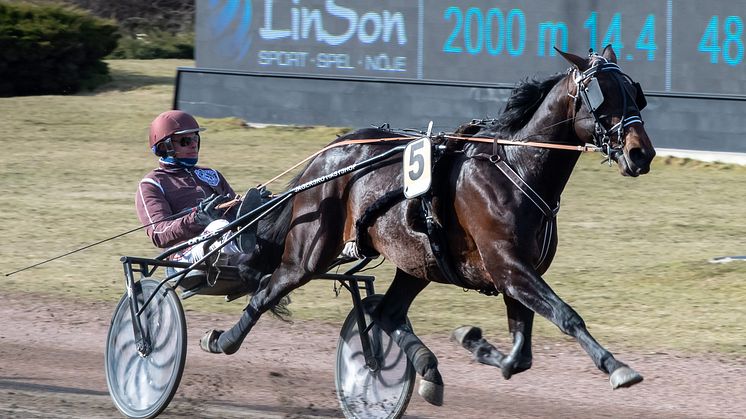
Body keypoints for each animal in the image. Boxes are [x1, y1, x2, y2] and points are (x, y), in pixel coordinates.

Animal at [202, 47, 652, 406]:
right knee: (267, 290)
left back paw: (425, 368)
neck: (516, 168)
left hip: (417, 261)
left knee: (387, 312)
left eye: (634, 92)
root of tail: (328, 153)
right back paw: (223, 340)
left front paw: (473, 342)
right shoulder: (509, 266)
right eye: (602, 94)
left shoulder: (517, 272)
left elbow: (520, 355)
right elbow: (565, 315)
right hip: (309, 253)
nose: (641, 153)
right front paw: (616, 366)